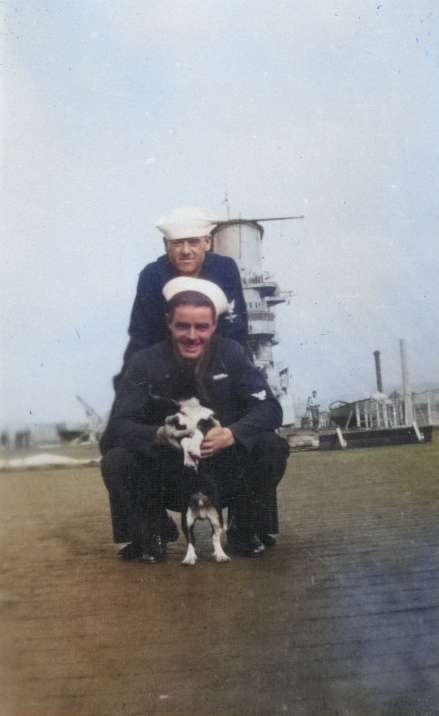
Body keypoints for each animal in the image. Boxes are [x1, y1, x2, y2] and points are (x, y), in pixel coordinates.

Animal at [164, 398, 230, 564]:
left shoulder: (206, 425)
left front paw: (194, 450)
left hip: (217, 516)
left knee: (215, 537)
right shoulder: (180, 432)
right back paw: (189, 558)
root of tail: (201, 513)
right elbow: (186, 440)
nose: (172, 418)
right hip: (186, 517)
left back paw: (221, 555)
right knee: (191, 539)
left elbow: (198, 434)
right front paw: (189, 458)